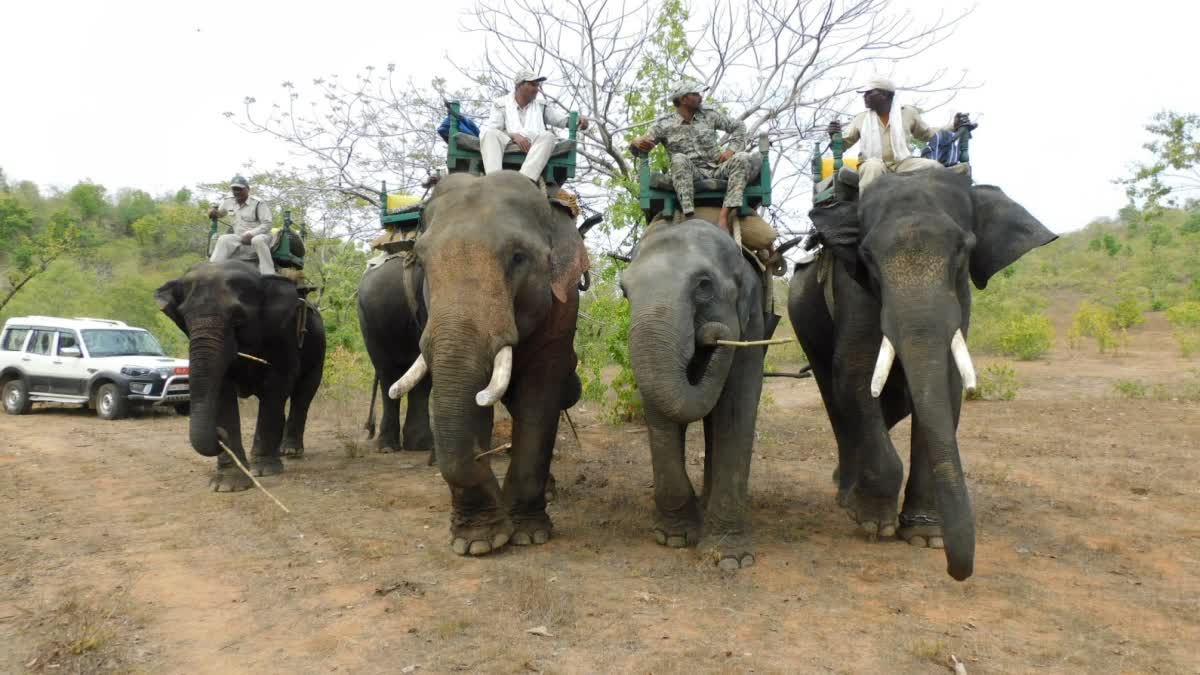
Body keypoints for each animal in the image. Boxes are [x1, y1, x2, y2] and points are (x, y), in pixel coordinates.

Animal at [153, 258, 328, 487]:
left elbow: (277, 383)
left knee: (303, 394)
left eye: (237, 319)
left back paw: (290, 451)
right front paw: (228, 484)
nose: (219, 434)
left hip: (318, 347)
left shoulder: (283, 334)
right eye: (185, 319)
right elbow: (222, 389)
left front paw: (263, 471)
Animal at [386, 168, 588, 552]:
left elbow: (539, 401)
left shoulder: (562, 310)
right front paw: (479, 542)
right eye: (421, 261)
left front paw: (527, 534)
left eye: (519, 257)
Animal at [619, 216, 768, 566]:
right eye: (624, 290)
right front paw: (673, 537)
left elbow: (736, 411)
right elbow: (661, 413)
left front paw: (730, 559)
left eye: (704, 285)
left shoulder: (752, 325)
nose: (712, 333)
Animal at [792, 168, 1056, 578]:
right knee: (833, 389)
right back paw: (846, 497)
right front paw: (875, 525)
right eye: (867, 257)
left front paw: (925, 537)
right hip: (805, 316)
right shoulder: (853, 290)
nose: (957, 572)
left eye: (964, 249)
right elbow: (854, 374)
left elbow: (946, 384)